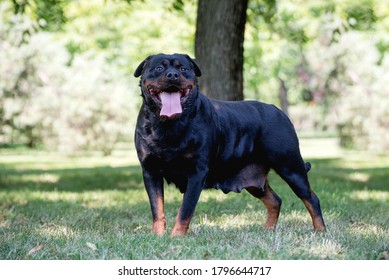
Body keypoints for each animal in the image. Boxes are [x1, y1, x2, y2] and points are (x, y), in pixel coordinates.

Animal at [133, 53, 324, 236]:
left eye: (183, 69)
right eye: (159, 68)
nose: (173, 74)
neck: (168, 125)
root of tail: (280, 111)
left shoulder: (196, 173)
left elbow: (185, 210)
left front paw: (176, 237)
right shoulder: (150, 171)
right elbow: (157, 208)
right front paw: (158, 236)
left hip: (291, 167)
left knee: (311, 198)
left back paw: (320, 230)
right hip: (253, 179)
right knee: (275, 200)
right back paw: (269, 229)